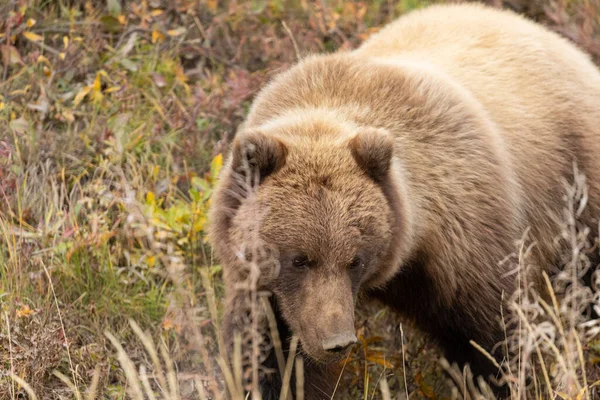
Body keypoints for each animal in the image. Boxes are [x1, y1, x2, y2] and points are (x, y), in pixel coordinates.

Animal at [206, 2, 600, 396]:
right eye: (299, 259)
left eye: (355, 259)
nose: (337, 341)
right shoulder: (262, 289)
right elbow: (266, 356)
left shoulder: (466, 237)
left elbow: (489, 338)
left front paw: (502, 381)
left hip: (575, 188)